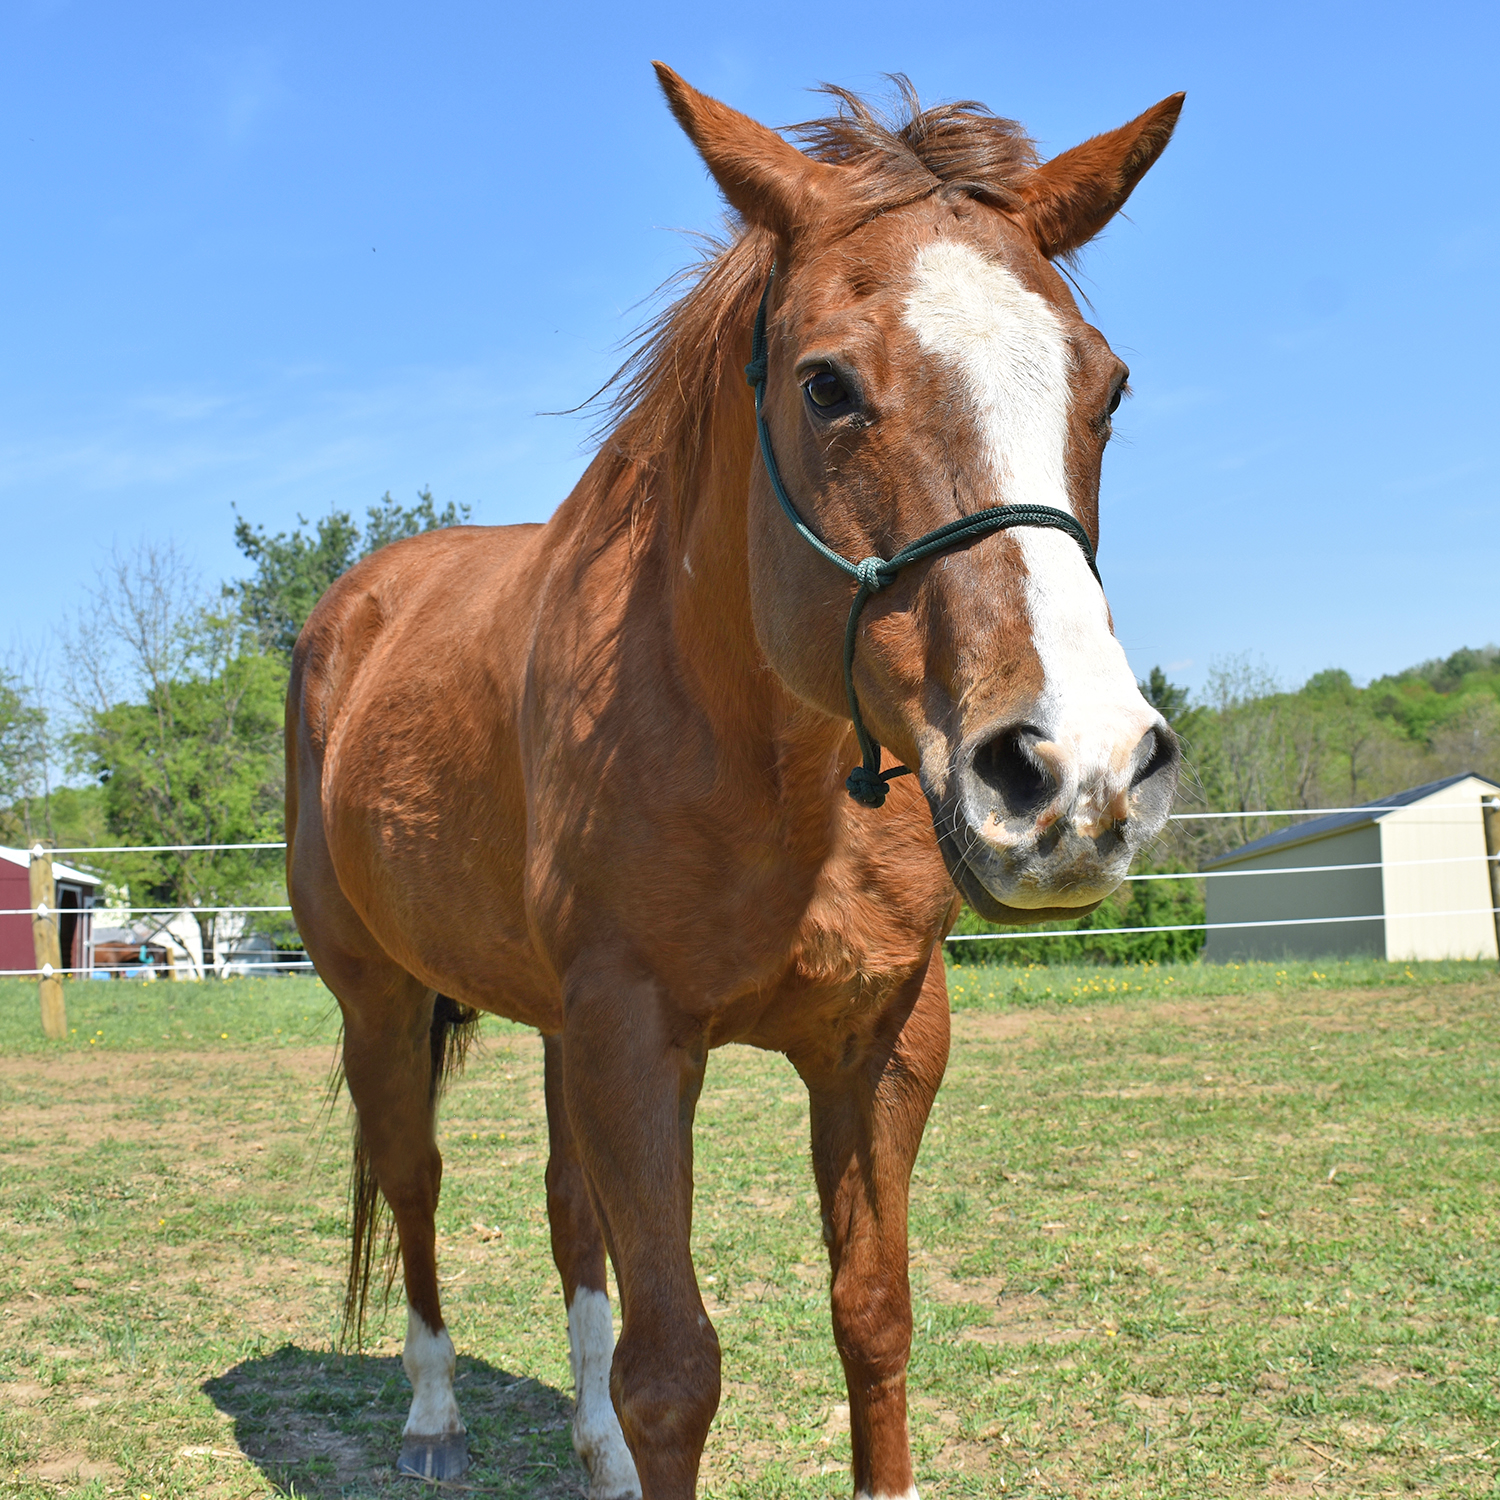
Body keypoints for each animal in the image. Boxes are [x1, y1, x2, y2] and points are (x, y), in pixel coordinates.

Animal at [286, 65, 1183, 1500]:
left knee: (565, 1210)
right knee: (413, 1178)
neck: (781, 779)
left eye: (1106, 387)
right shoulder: (636, 1040)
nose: (1076, 772)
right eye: (826, 386)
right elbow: (674, 1375)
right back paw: (430, 1415)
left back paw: (587, 1449)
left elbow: (873, 1318)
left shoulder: (880, 1042)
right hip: (381, 999)